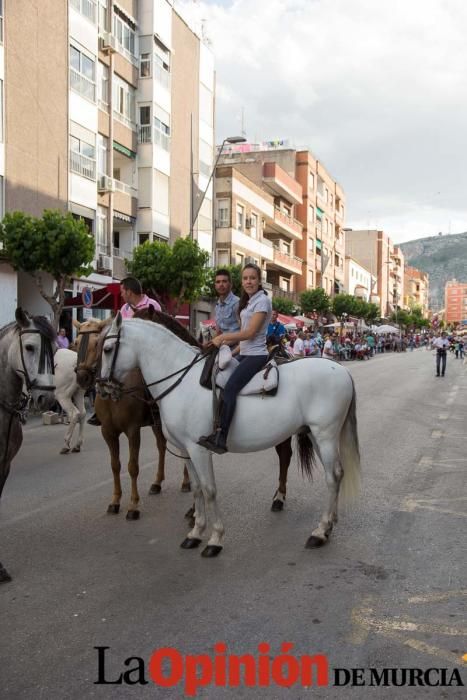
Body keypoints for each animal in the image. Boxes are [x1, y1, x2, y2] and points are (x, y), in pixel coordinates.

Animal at [73, 312, 190, 520]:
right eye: (76, 343)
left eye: (97, 343)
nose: (82, 378)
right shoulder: (108, 432)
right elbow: (115, 465)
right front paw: (115, 501)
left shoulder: (133, 430)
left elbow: (132, 466)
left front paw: (133, 506)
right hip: (156, 423)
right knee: (161, 447)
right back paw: (157, 483)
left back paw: (186, 482)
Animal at [98, 316, 362, 556]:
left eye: (107, 349)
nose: (101, 387)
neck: (181, 381)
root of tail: (342, 370)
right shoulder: (185, 450)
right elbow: (196, 489)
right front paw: (195, 533)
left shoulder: (198, 449)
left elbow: (209, 490)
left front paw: (215, 539)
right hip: (317, 436)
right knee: (334, 475)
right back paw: (328, 525)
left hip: (325, 435)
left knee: (332, 477)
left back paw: (320, 532)